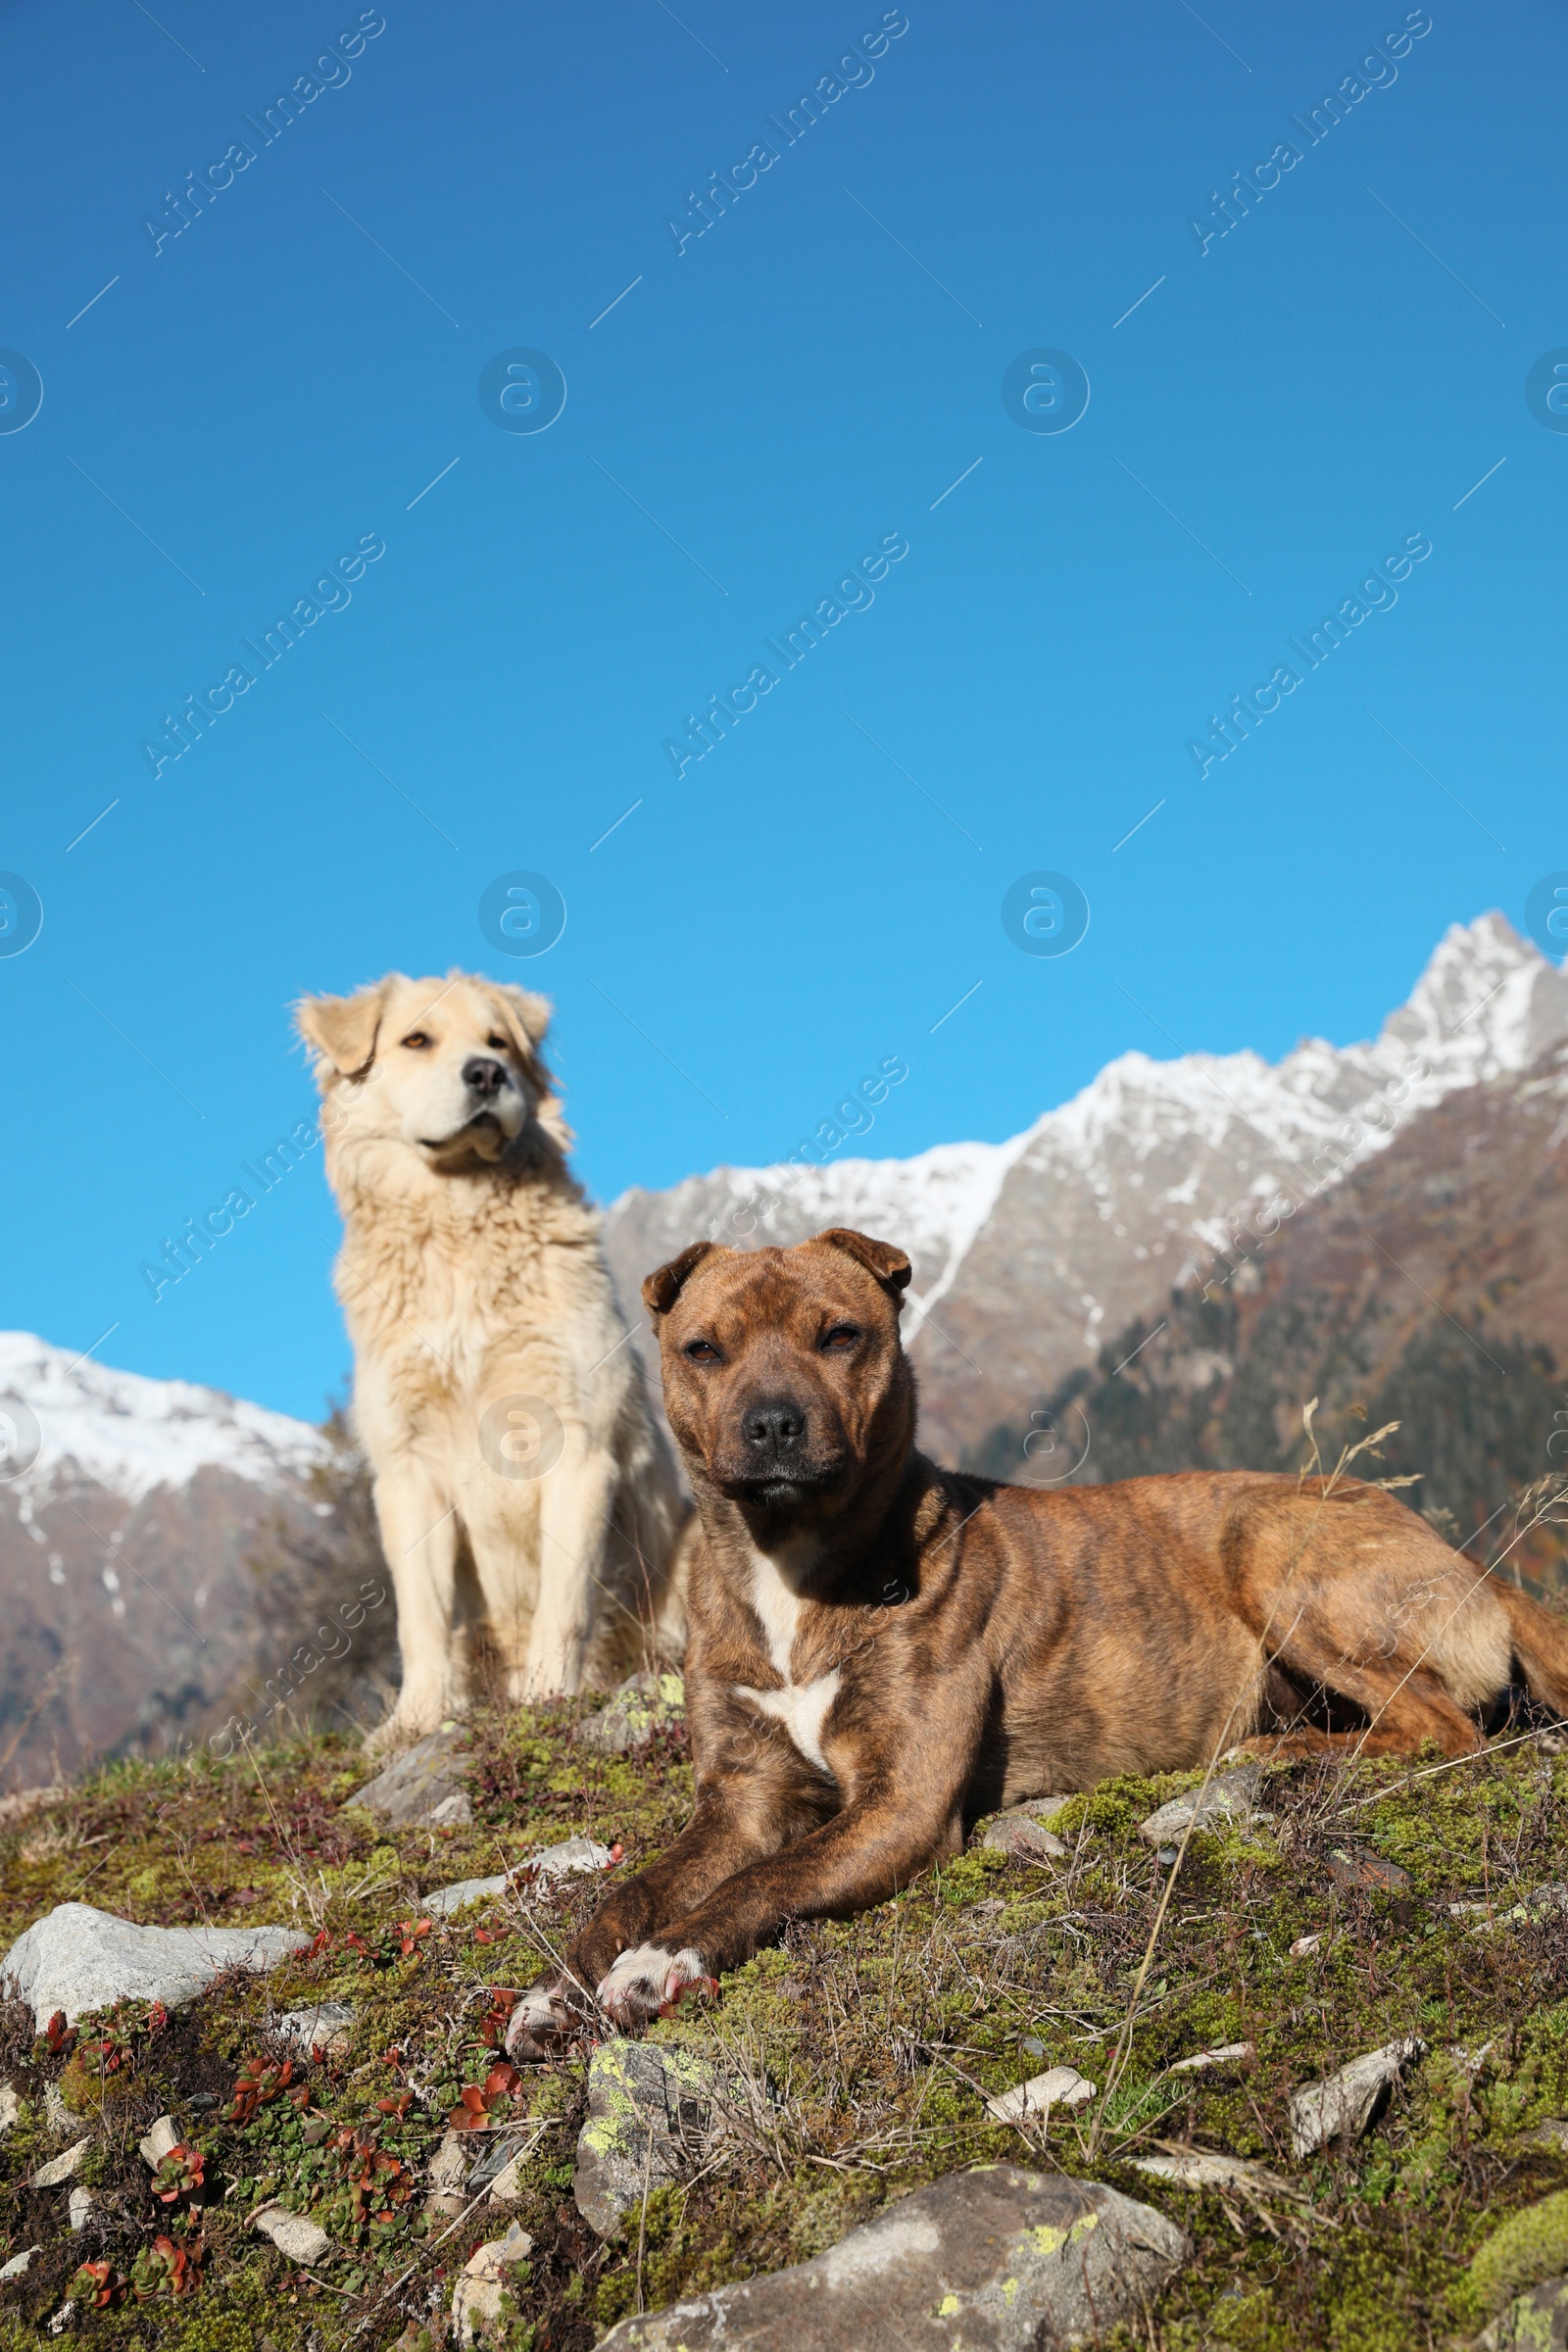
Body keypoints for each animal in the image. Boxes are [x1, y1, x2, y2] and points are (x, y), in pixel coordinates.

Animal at [297, 959, 681, 1749]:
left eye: (498, 1041)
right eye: (416, 1040)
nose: (485, 1073)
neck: (458, 1226)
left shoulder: (580, 1444)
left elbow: (564, 1601)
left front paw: (548, 1696)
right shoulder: (407, 1470)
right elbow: (422, 1617)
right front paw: (417, 1720)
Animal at [510, 1223, 1560, 2050]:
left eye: (840, 1335)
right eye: (703, 1350)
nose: (772, 1425)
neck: (793, 1571)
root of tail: (1476, 1567)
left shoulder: (899, 1803)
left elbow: (765, 1880)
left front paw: (657, 1965)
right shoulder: (741, 1800)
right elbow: (632, 1891)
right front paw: (555, 1990)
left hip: (1271, 1546)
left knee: (1439, 1729)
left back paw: (1278, 1750)